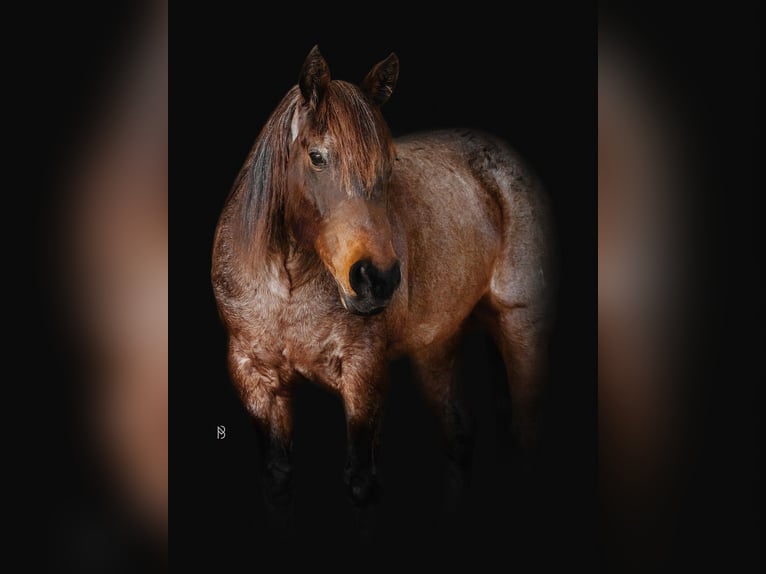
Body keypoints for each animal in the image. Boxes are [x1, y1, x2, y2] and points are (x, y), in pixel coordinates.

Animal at [212, 46, 554, 509]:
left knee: (524, 431)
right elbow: (277, 475)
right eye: (316, 156)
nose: (377, 279)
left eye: (389, 165)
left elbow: (361, 479)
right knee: (460, 432)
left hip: (521, 327)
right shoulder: (256, 379)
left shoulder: (364, 374)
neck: (286, 286)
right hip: (437, 345)